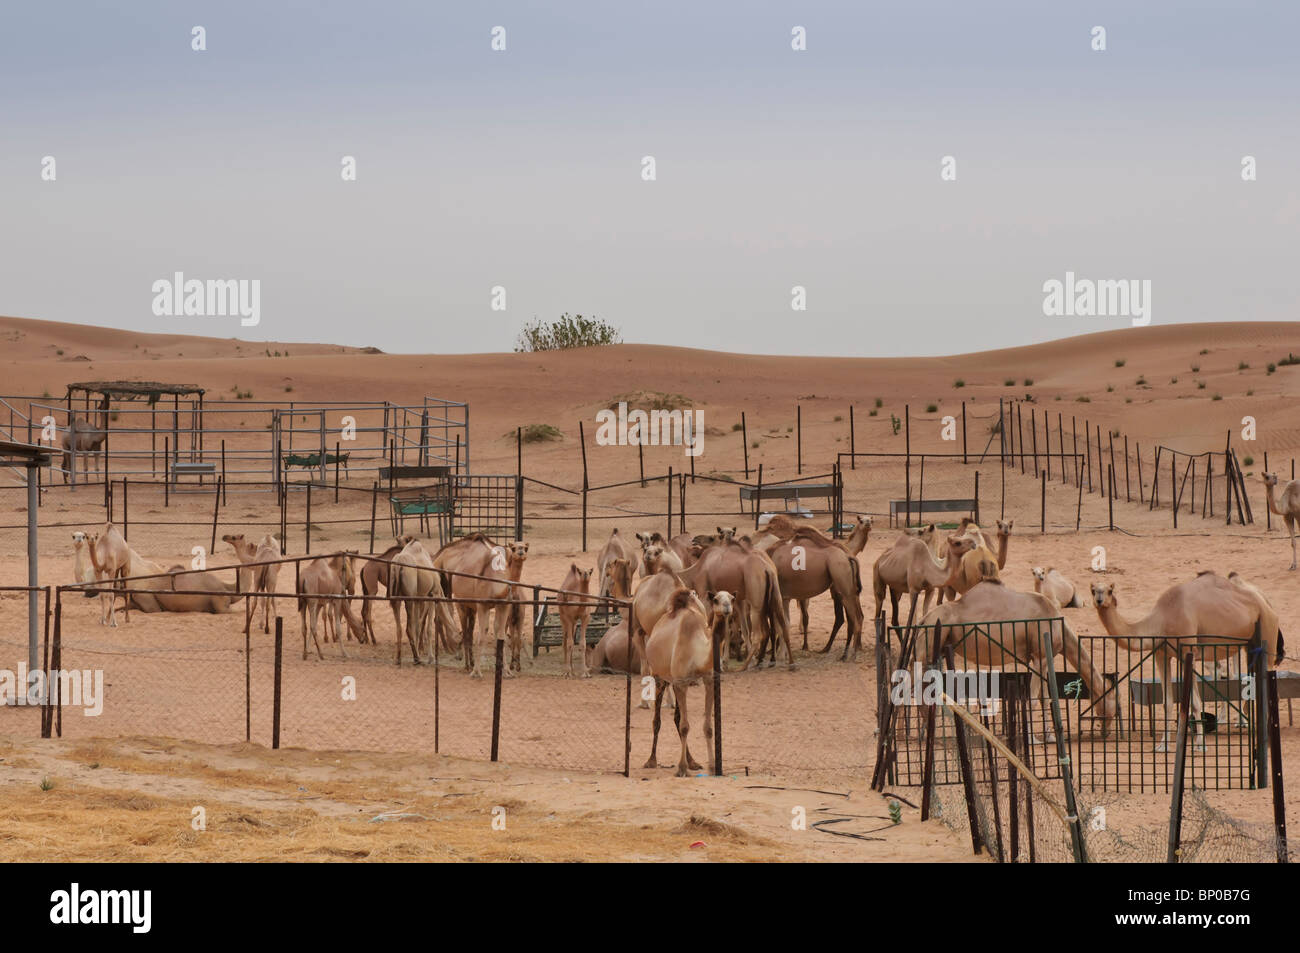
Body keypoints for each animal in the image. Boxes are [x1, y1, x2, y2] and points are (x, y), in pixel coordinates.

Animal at [643, 589, 730, 776]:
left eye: (732, 598)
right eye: (716, 599)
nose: (727, 607)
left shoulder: (708, 680)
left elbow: (708, 727)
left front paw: (713, 766)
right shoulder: (681, 682)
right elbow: (684, 726)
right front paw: (681, 769)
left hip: (675, 681)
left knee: (677, 717)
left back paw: (692, 762)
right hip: (659, 676)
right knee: (657, 720)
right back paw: (651, 760)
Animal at [918, 577, 1117, 739]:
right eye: (1113, 704)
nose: (1106, 732)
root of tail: (924, 619)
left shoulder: (1042, 660)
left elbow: (1046, 698)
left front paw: (1050, 736)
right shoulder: (1040, 656)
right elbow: (1033, 699)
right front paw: (1032, 739)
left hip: (939, 651)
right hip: (929, 646)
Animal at [1091, 572, 1283, 750]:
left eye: (1109, 590)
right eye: (1093, 590)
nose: (1099, 600)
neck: (1161, 619)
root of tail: (1268, 606)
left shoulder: (1187, 652)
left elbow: (1195, 703)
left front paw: (1200, 744)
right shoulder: (1161, 654)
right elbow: (1167, 702)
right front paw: (1162, 745)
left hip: (1267, 632)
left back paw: (1265, 740)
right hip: (1249, 645)